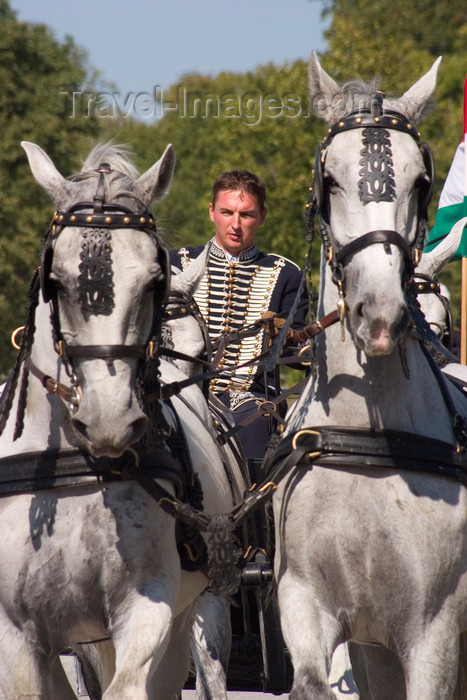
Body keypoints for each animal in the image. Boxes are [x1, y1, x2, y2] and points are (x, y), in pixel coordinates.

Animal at [272, 54, 467, 700]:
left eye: (420, 181)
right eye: (329, 180)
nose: (379, 314)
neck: (367, 442)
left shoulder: (434, 633)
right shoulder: (311, 607)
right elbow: (312, 681)